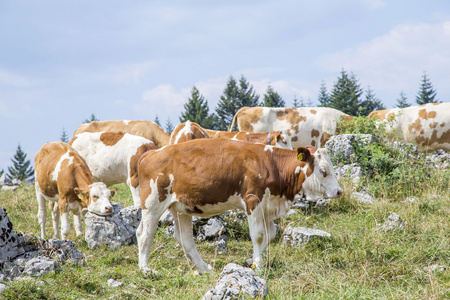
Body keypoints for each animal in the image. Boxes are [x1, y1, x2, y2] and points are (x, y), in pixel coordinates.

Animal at [136, 139, 342, 274]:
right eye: (323, 171)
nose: (339, 191)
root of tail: (150, 153)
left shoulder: (267, 206)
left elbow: (271, 233)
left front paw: (251, 260)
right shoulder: (253, 200)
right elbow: (258, 235)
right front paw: (258, 265)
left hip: (181, 208)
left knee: (184, 238)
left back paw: (204, 269)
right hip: (153, 203)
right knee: (145, 234)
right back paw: (145, 268)